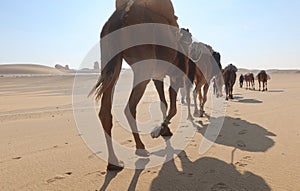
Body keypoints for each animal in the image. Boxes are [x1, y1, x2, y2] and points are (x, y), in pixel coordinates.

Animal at [89, 0, 192, 171]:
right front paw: (158, 131)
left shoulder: (158, 76)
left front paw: (165, 130)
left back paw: (114, 162)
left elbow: (163, 104)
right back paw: (140, 148)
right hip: (143, 65)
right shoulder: (175, 76)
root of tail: (121, 14)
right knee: (129, 107)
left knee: (105, 110)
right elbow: (173, 108)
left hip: (112, 61)